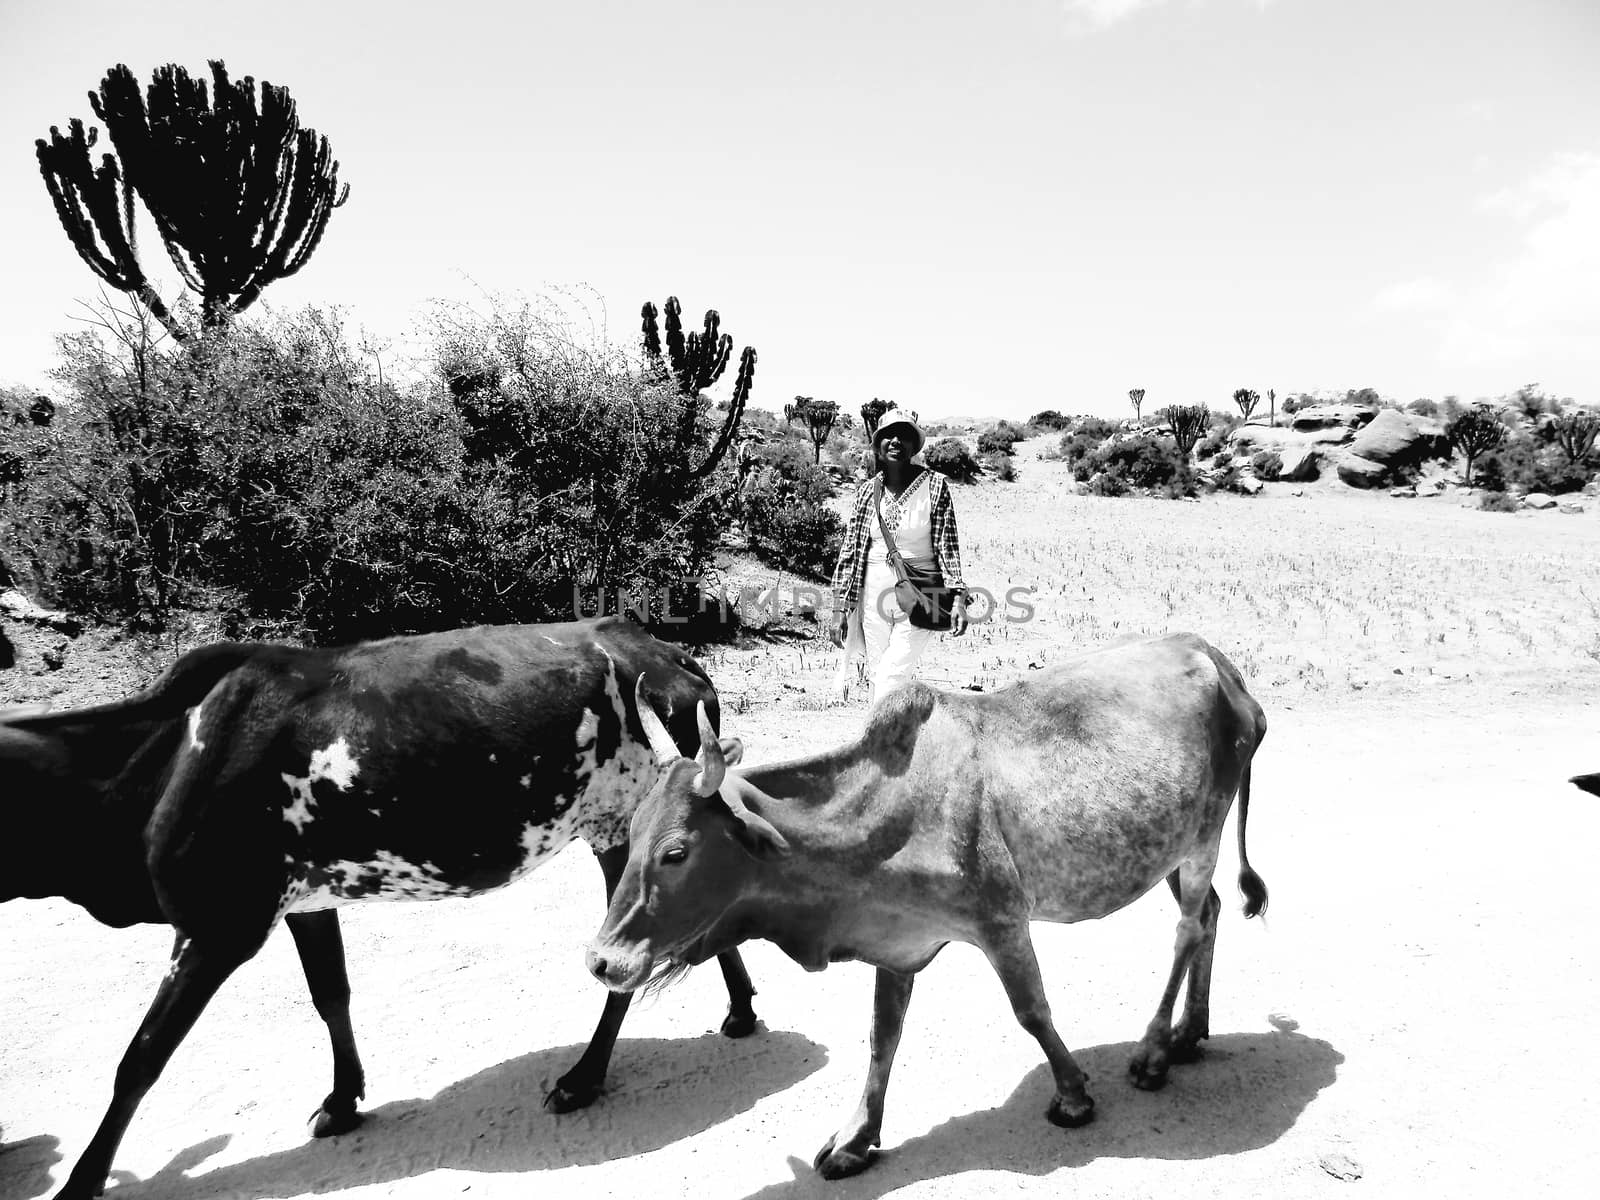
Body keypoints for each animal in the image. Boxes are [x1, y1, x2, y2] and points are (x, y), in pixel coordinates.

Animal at [1, 620, 761, 1200]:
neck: (168, 756)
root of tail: (664, 651)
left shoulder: (219, 929)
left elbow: (139, 1061)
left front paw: (82, 1180)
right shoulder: (303, 903)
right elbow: (330, 994)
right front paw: (344, 1099)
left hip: (619, 832)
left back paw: (584, 1077)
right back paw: (740, 1011)